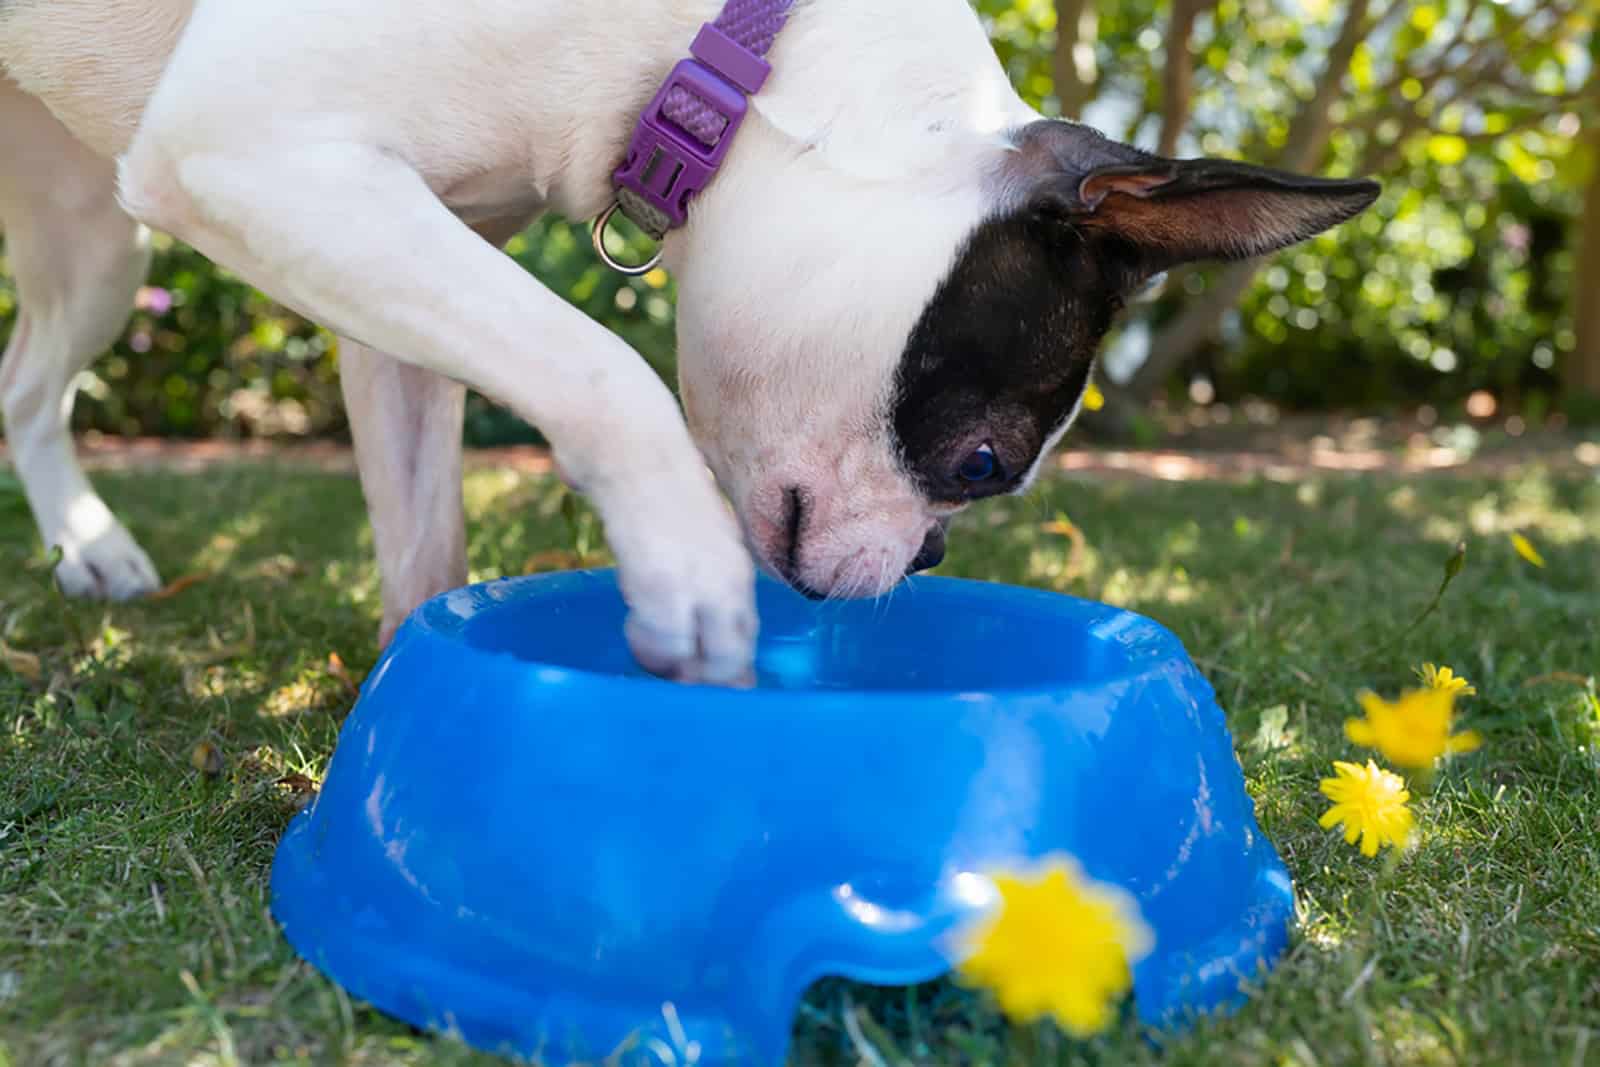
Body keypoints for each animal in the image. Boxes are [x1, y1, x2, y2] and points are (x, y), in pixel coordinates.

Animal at [0, 0, 1376, 684]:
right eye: (982, 465)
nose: (931, 553)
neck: (723, 54)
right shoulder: (250, 152)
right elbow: (597, 365)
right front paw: (685, 568)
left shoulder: (380, 238)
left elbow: (425, 532)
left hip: (101, 249)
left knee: (26, 387)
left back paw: (91, 546)